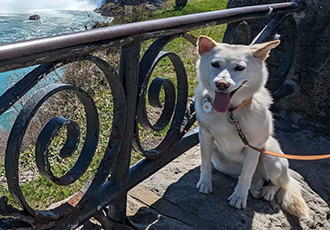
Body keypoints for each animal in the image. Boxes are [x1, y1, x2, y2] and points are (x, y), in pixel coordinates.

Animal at [195, 35, 308, 217]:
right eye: (215, 64)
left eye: (240, 68)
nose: (221, 84)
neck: (231, 111)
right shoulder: (205, 136)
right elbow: (205, 163)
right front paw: (205, 183)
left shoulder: (253, 146)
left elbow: (246, 175)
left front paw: (239, 197)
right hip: (222, 162)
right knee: (257, 177)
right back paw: (256, 187)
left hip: (270, 156)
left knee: (277, 183)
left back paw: (267, 191)